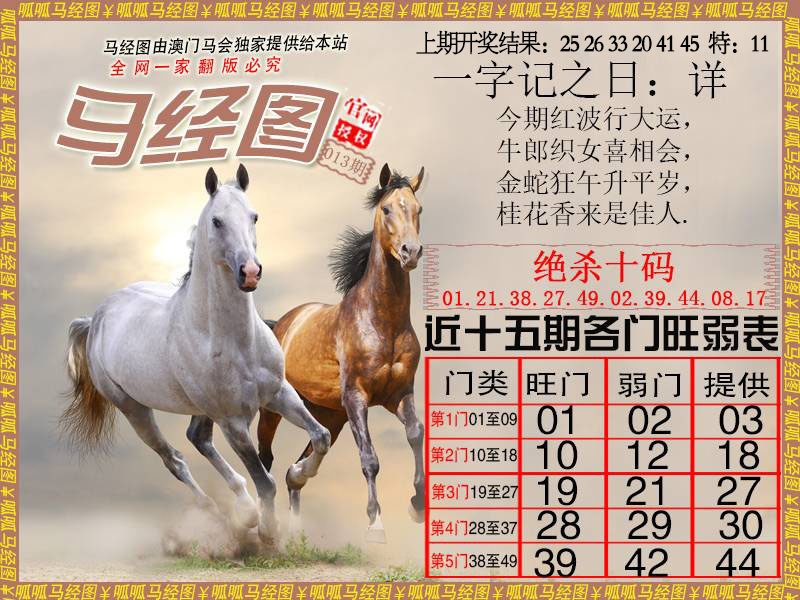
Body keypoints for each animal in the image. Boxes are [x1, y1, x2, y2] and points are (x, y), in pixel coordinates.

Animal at [63, 165, 331, 543]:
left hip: (200, 409)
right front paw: (268, 531)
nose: (250, 272)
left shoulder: (278, 393)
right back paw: (225, 515)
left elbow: (320, 437)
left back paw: (243, 509)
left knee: (197, 438)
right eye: (217, 221)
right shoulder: (233, 422)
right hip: (134, 409)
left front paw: (298, 474)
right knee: (174, 459)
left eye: (254, 216)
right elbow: (265, 480)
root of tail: (96, 317)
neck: (235, 341)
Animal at [256, 163, 425, 543]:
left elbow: (415, 434)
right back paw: (264, 524)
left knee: (298, 465)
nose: (410, 252)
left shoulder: (399, 395)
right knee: (265, 458)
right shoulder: (357, 397)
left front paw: (417, 505)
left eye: (418, 209)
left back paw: (297, 509)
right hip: (275, 409)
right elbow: (370, 458)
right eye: (386, 209)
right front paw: (376, 524)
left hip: (329, 414)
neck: (382, 321)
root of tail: (280, 324)